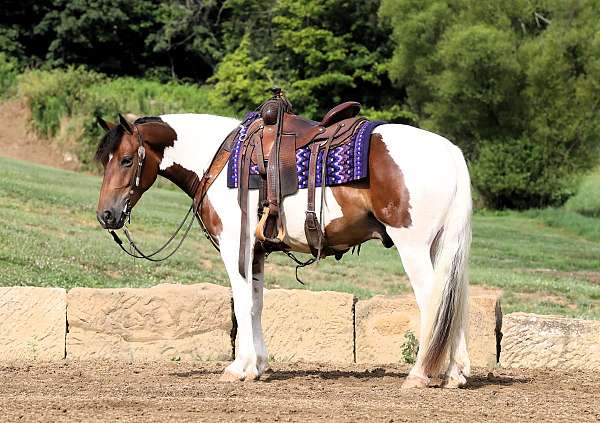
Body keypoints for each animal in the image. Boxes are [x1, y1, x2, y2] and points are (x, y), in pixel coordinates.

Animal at [95, 112, 474, 388]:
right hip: (439, 247)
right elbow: (256, 305)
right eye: (106, 160)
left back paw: (420, 374)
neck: (220, 160)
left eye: (126, 160)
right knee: (452, 301)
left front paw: (240, 367)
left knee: (434, 300)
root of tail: (451, 152)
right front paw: (259, 365)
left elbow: (242, 303)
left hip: (413, 247)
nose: (106, 215)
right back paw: (454, 373)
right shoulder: (257, 252)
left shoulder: (235, 247)